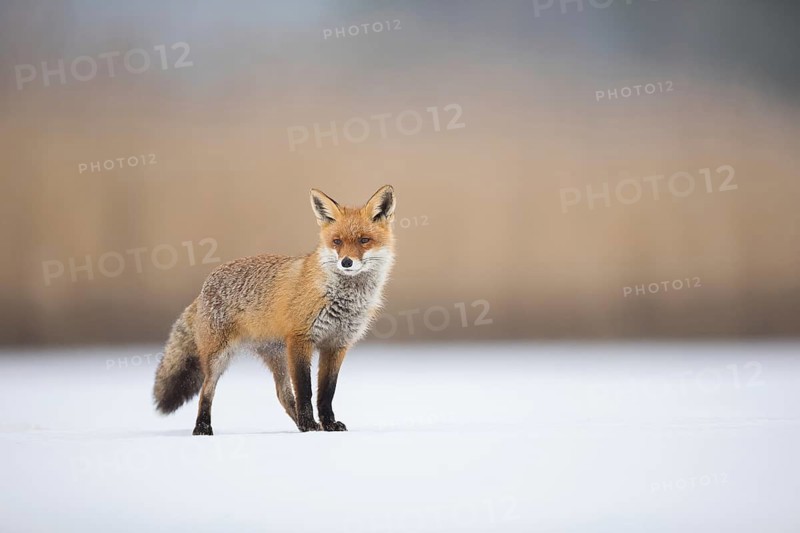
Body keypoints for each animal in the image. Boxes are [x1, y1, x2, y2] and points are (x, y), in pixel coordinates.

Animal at [152, 185, 396, 435]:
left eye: (364, 240)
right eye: (337, 241)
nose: (346, 262)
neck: (343, 298)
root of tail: (204, 287)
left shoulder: (337, 344)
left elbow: (326, 393)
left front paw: (327, 424)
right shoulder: (300, 340)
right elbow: (306, 392)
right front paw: (310, 425)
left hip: (276, 356)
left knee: (283, 394)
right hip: (219, 357)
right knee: (206, 390)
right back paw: (202, 427)